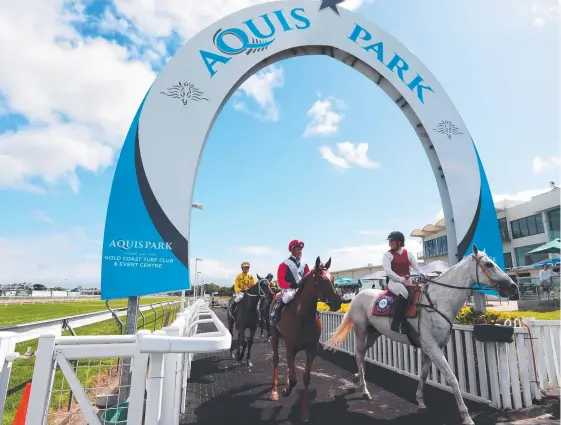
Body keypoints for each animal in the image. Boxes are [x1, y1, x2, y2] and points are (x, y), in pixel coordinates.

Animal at [268, 255, 342, 420]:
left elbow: (306, 377)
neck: (303, 316)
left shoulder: (311, 348)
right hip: (275, 335)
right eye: (320, 279)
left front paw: (305, 411)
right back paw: (275, 391)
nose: (338, 302)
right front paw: (286, 391)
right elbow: (294, 379)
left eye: (333, 278)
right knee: (276, 359)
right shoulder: (290, 346)